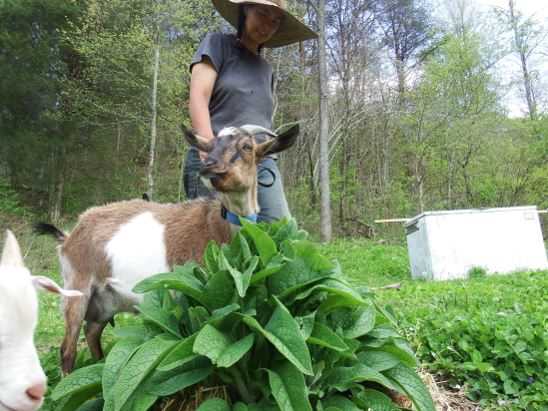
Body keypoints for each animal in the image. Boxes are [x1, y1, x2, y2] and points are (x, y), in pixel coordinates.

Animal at [37, 124, 300, 374]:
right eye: (209, 146)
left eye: (247, 146)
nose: (209, 166)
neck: (217, 226)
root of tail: (70, 234)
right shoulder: (189, 290)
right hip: (77, 288)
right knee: (67, 349)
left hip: (106, 300)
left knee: (92, 333)